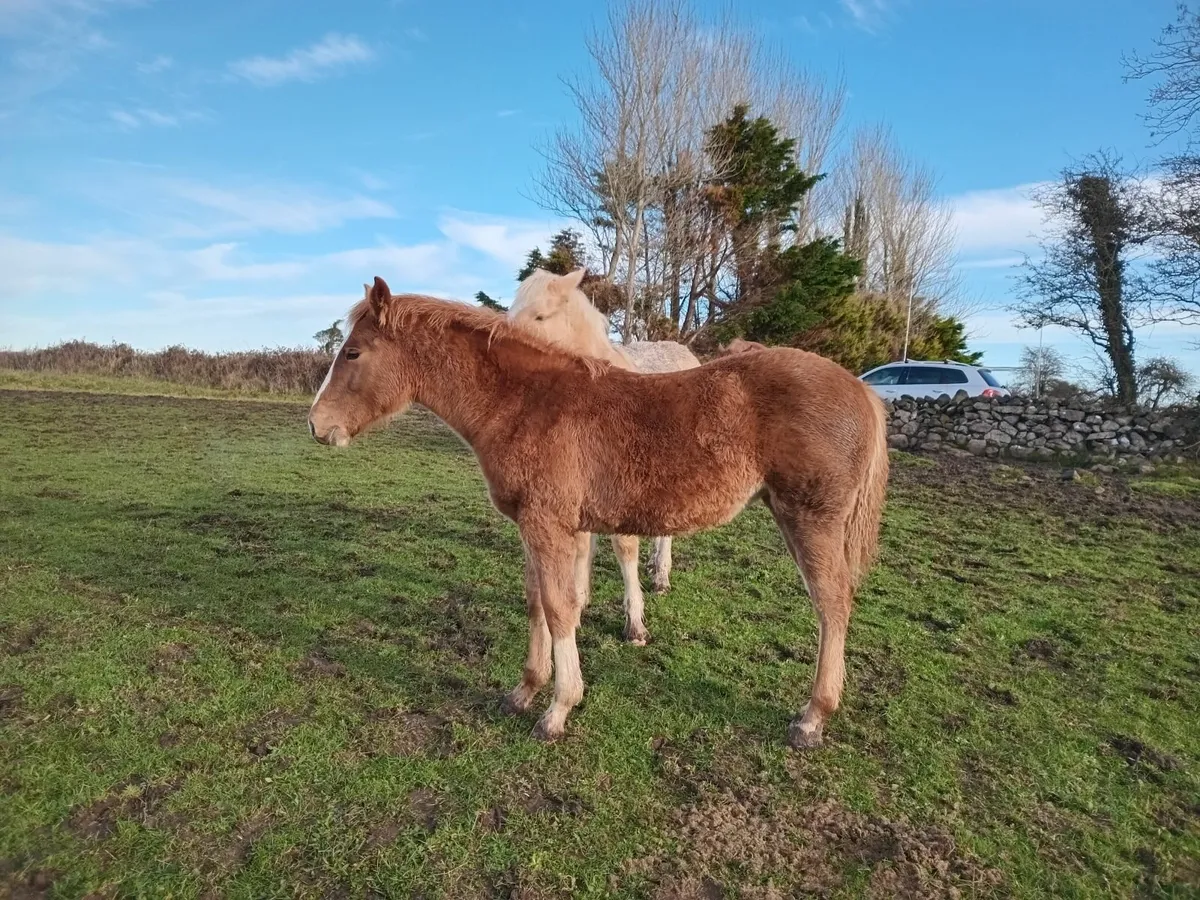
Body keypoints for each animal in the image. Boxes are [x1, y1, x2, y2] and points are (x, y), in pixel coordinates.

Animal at [507, 267, 701, 645]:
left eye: (540, 316)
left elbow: (624, 548)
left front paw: (635, 624)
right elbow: (583, 544)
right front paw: (579, 601)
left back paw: (661, 575)